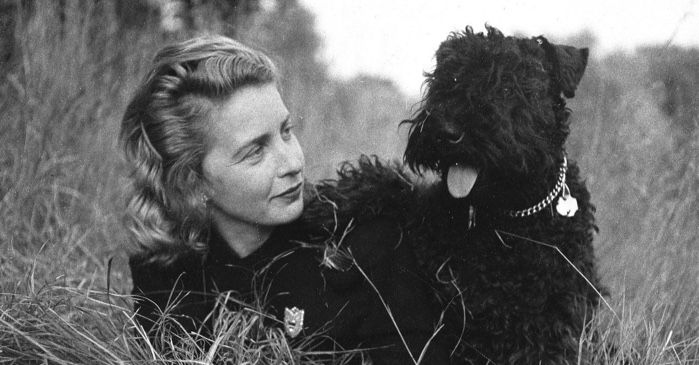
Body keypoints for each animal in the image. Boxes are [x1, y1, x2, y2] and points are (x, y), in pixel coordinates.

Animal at [304, 27, 600, 362]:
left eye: (508, 86)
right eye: (450, 77)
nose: (447, 132)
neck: (505, 221)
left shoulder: (545, 331)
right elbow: (394, 183)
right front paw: (330, 202)